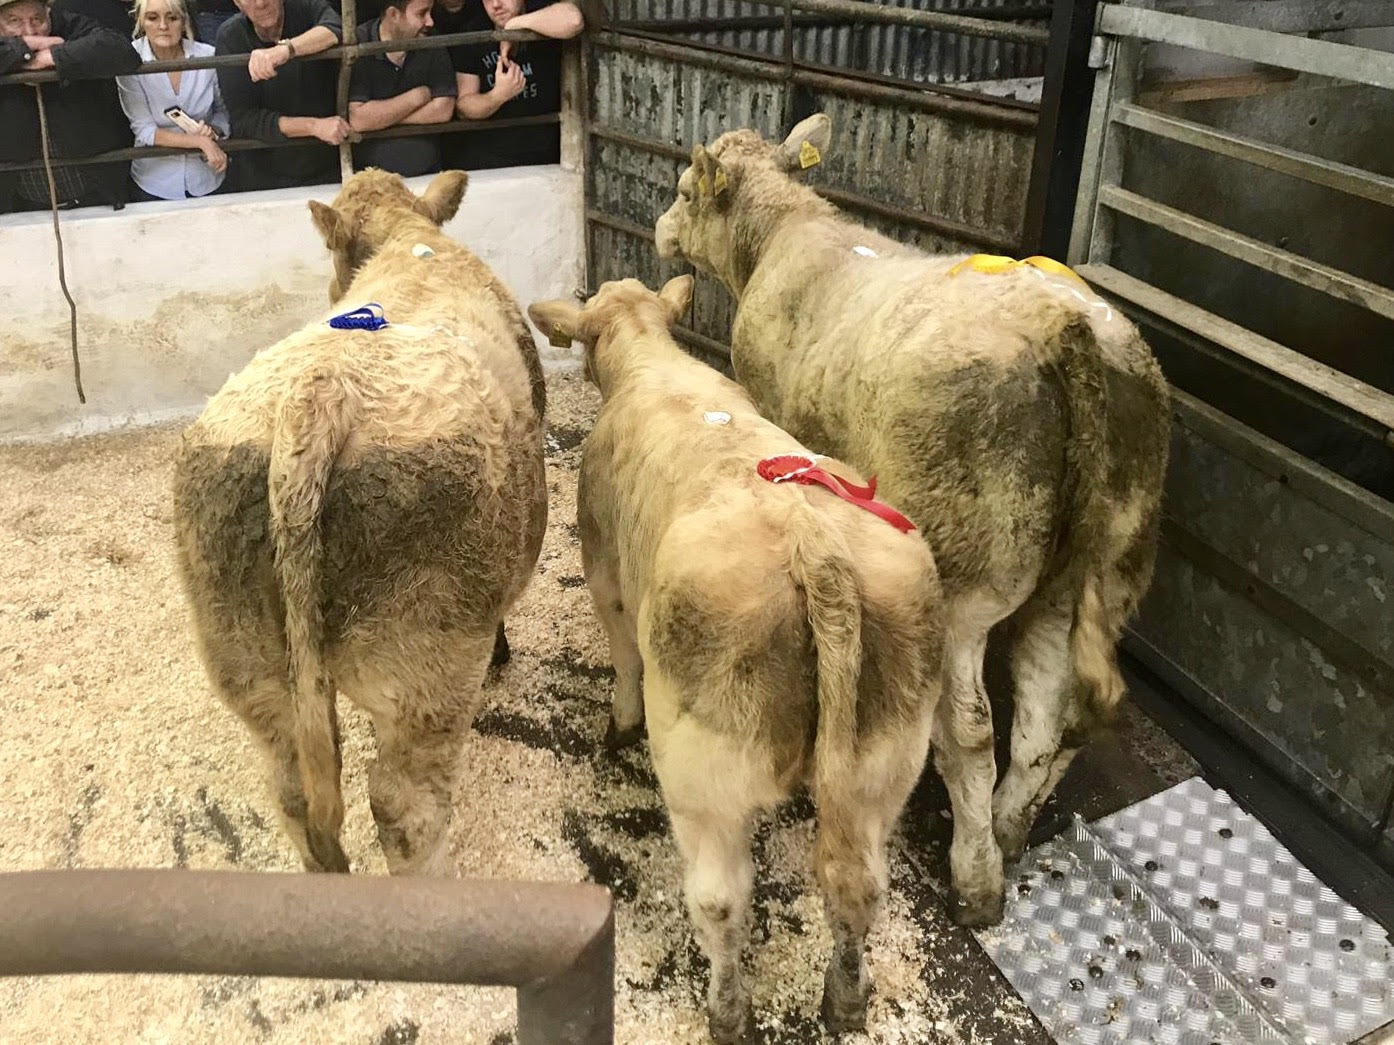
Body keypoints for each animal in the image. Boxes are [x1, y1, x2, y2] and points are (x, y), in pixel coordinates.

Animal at [172, 169, 548, 877]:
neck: (409, 241)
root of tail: (321, 392)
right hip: (430, 663)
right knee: (405, 807)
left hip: (246, 660)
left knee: (293, 793)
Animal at [528, 275, 943, 1042]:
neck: (653, 359)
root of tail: (813, 540)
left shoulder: (603, 564)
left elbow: (622, 654)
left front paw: (618, 725)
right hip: (886, 755)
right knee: (859, 885)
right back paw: (845, 997)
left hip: (706, 777)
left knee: (721, 900)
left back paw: (727, 1009)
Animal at [654, 113, 1171, 927]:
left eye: (683, 189)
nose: (660, 230)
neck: (782, 235)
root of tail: (1065, 324)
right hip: (1101, 563)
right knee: (1047, 713)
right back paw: (1010, 828)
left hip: (965, 572)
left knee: (970, 731)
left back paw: (976, 876)